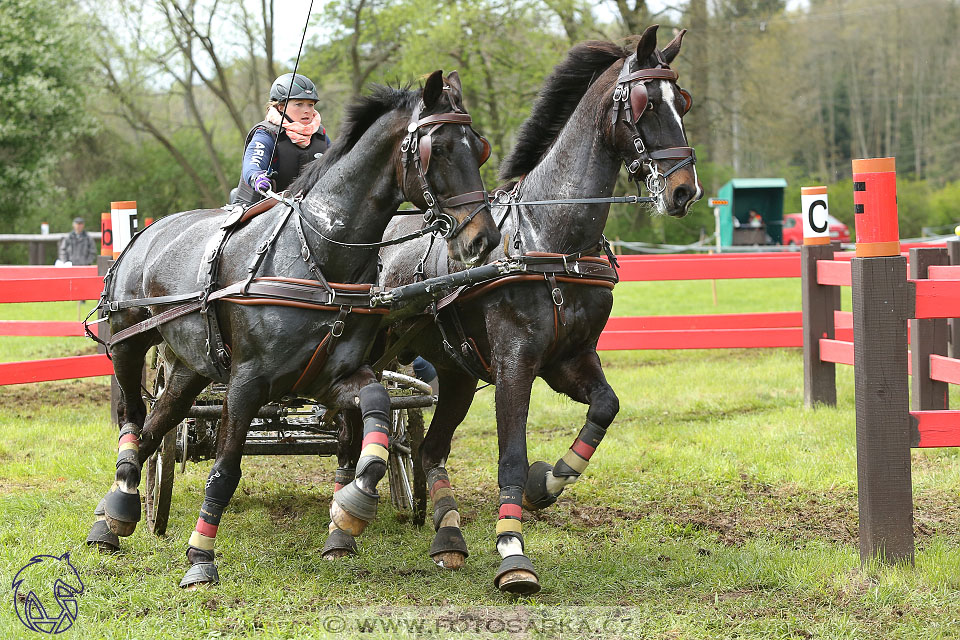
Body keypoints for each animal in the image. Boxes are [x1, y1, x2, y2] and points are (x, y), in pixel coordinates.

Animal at [85, 71, 498, 592]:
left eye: (478, 147)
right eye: (437, 149)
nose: (483, 239)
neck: (318, 255)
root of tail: (149, 230)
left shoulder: (333, 378)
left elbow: (377, 413)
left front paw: (354, 503)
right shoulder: (246, 383)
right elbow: (225, 470)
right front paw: (200, 557)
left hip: (190, 366)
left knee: (159, 423)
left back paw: (116, 514)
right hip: (130, 341)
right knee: (133, 418)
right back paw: (117, 504)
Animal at [376, 27, 704, 592]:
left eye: (680, 102)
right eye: (644, 104)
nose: (685, 190)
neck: (551, 242)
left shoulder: (570, 359)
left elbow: (605, 407)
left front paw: (546, 483)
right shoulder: (515, 365)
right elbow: (510, 456)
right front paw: (512, 549)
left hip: (456, 372)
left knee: (429, 449)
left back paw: (448, 535)